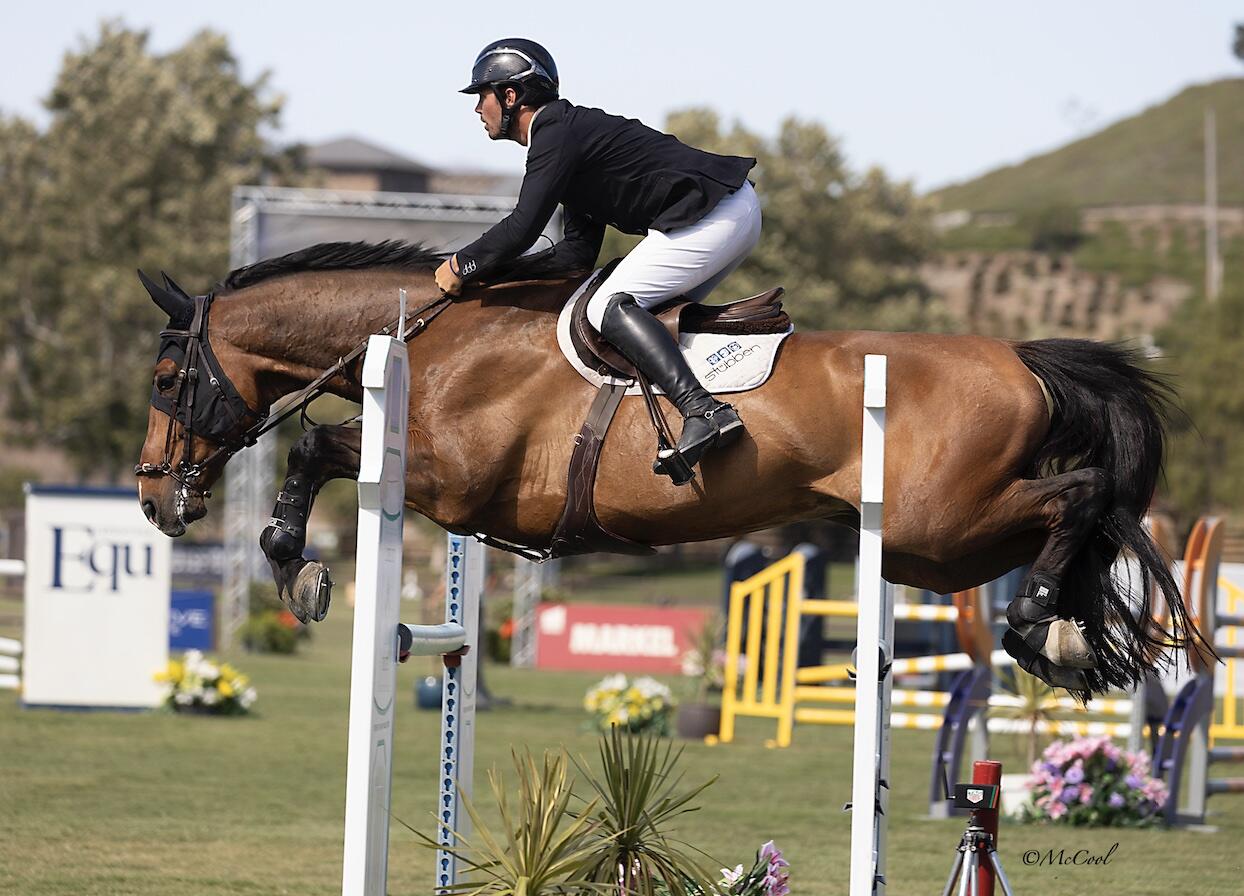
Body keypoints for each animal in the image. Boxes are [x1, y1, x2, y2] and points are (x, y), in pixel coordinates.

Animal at [133, 241, 1204, 701]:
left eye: (167, 378)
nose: (152, 500)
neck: (436, 336)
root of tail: (1020, 357)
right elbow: (319, 447)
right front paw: (297, 565)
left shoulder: (454, 482)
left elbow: (316, 445)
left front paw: (293, 563)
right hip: (933, 548)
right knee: (1080, 517)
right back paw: (1060, 636)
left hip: (939, 525)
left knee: (1083, 498)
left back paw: (1039, 624)